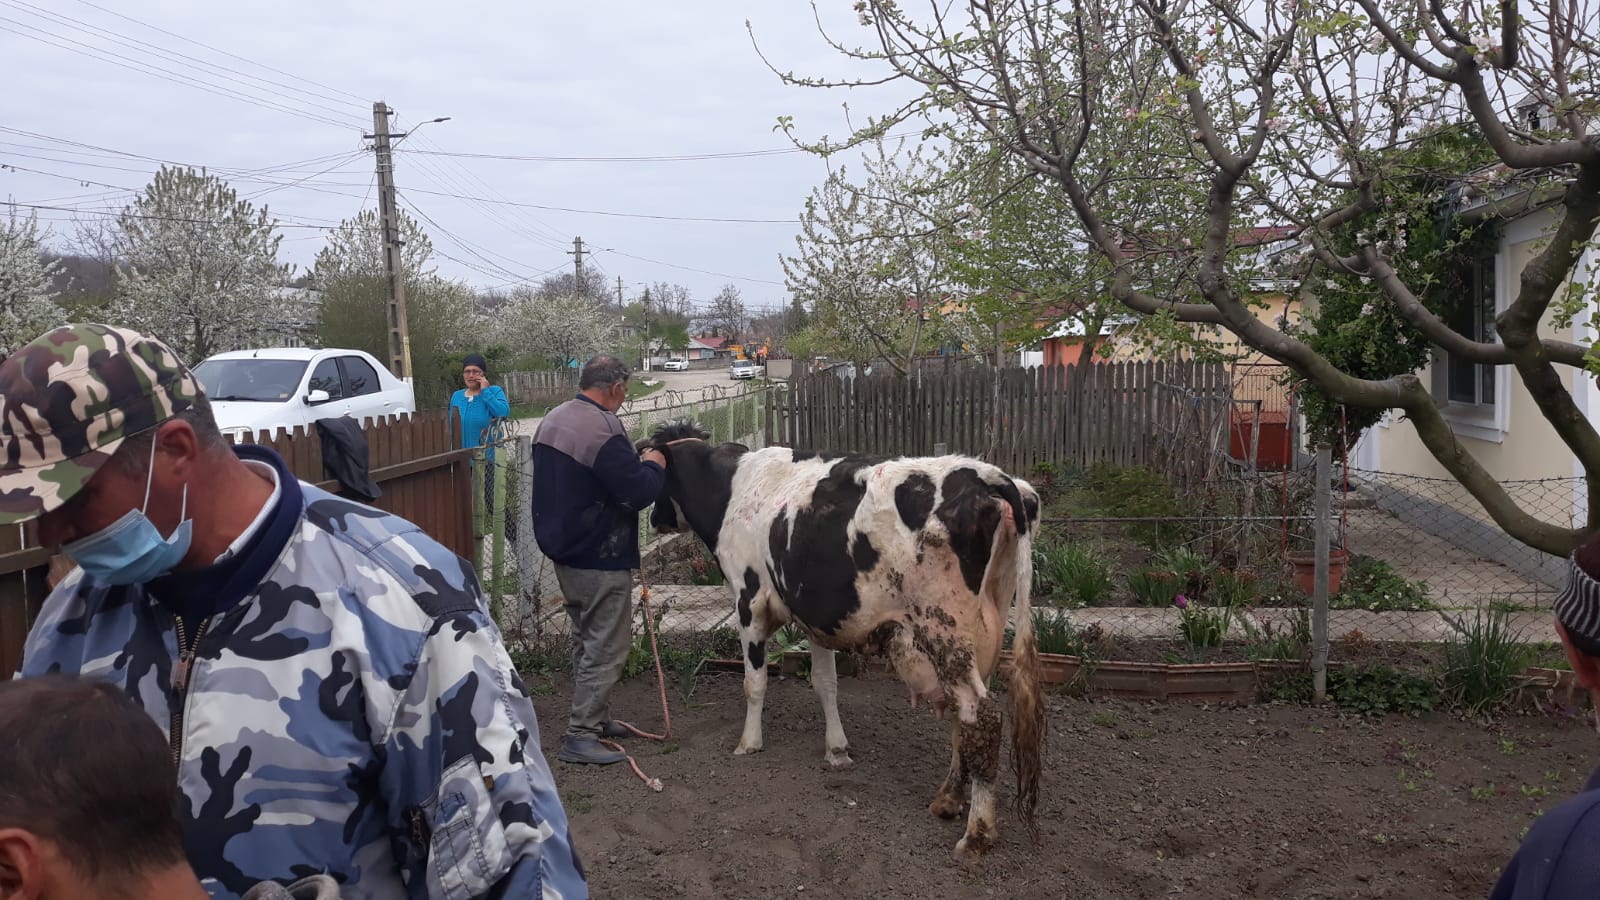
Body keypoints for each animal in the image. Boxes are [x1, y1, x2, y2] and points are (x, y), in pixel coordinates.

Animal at [636, 420, 1045, 859]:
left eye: (660, 479)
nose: (654, 520)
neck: (733, 488)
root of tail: (989, 475)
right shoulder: (814, 613)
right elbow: (825, 683)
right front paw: (836, 749)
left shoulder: (749, 601)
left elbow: (754, 683)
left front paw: (749, 742)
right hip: (983, 632)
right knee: (965, 720)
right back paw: (948, 800)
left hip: (945, 628)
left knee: (981, 715)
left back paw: (976, 834)